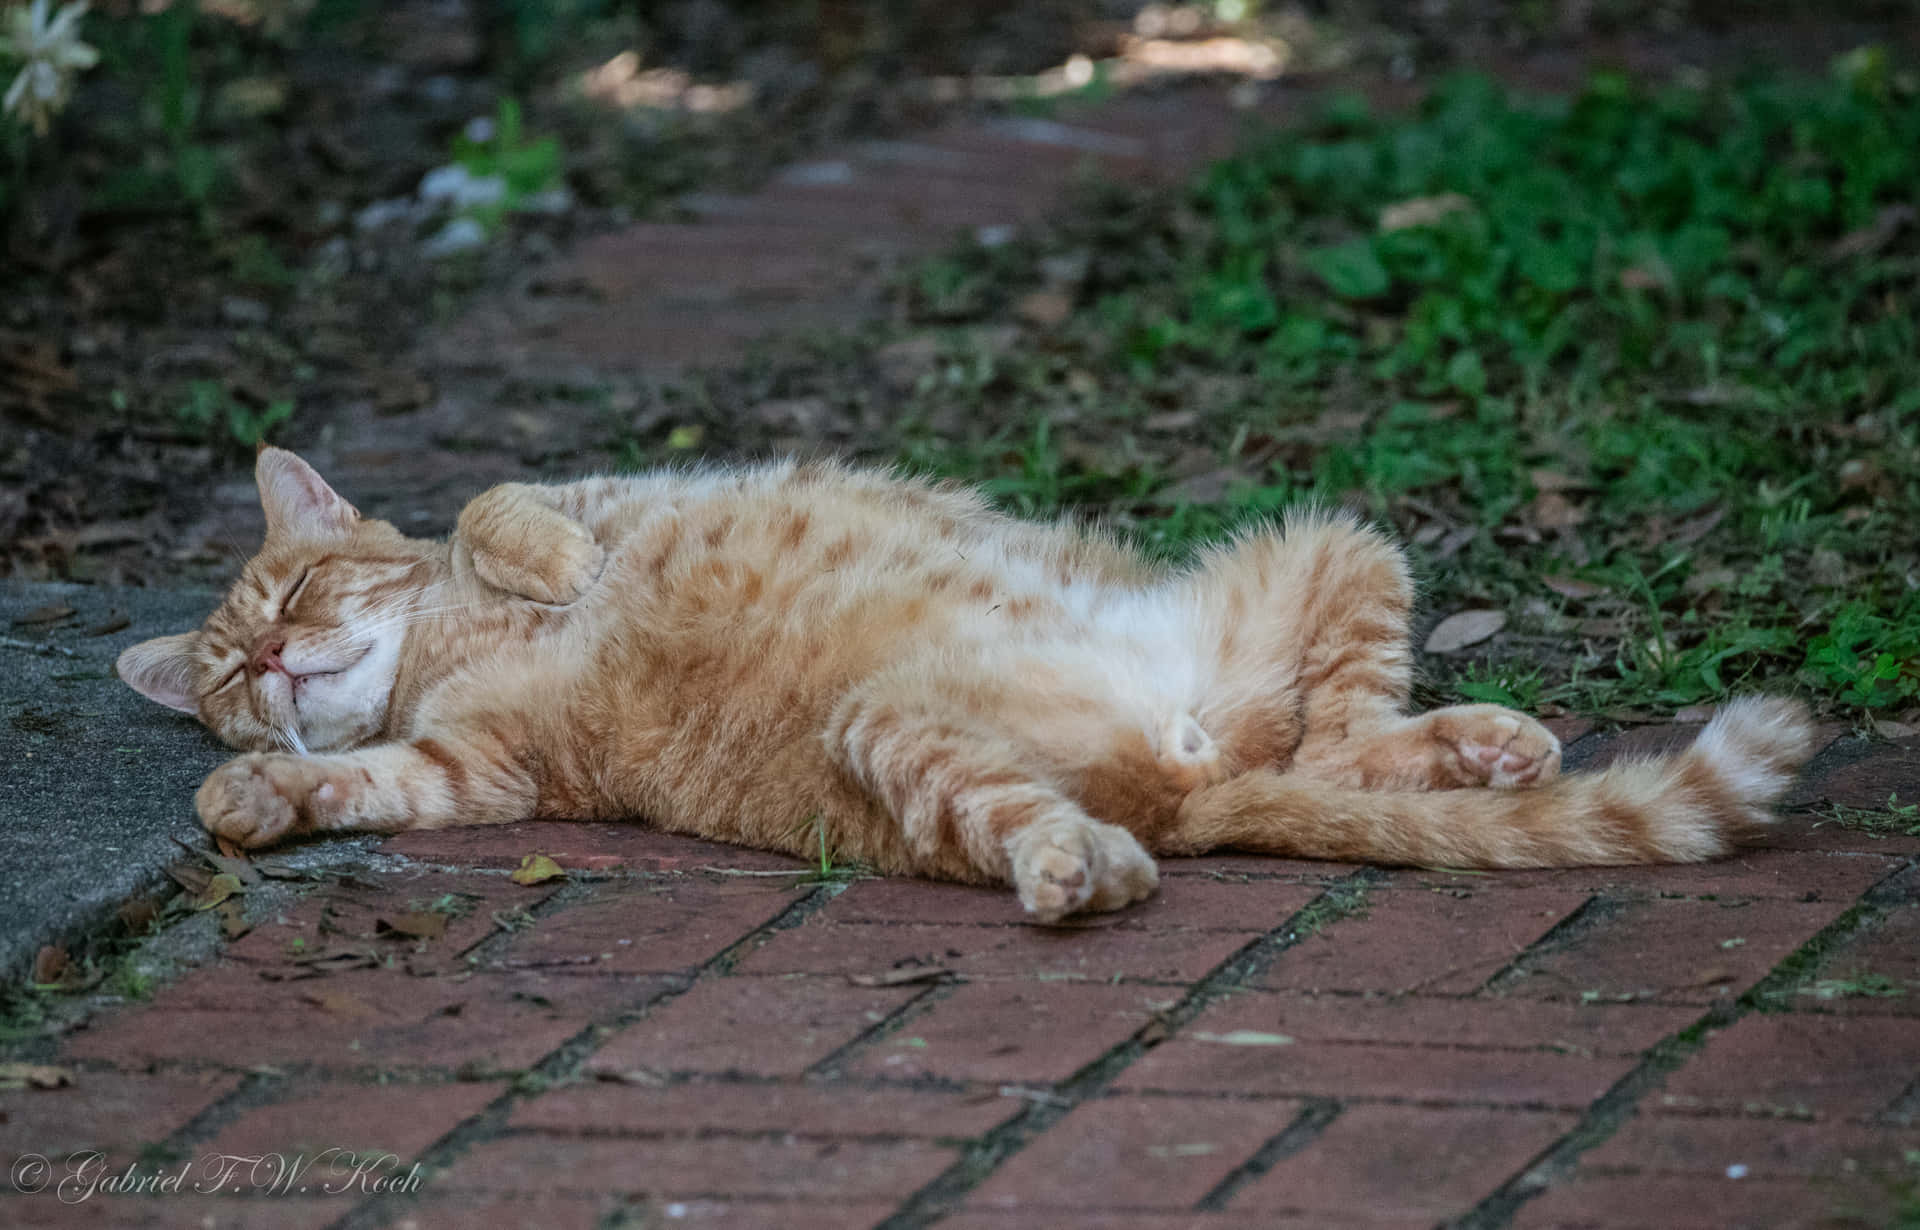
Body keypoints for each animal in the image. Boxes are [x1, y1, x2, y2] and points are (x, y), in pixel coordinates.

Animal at [116, 445, 1812, 917]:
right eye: (230, 678)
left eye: (295, 595)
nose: (274, 661)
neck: (442, 655)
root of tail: (1179, 782)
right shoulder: (483, 778)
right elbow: (361, 782)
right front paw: (256, 793)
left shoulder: (614, 486)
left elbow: (499, 506)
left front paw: (539, 560)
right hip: (905, 732)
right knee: (1290, 772)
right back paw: (1083, 868)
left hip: (1344, 540)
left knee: (1341, 738)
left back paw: (1487, 744)